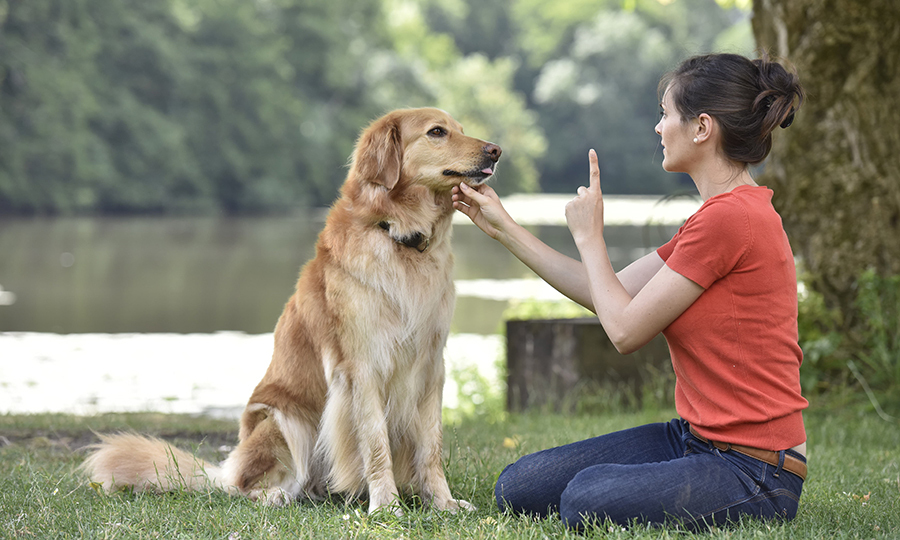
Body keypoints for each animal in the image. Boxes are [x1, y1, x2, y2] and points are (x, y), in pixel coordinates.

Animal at [81, 106, 502, 516]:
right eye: (437, 132)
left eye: (459, 128)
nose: (496, 150)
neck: (398, 235)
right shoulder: (362, 366)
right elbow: (375, 441)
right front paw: (385, 505)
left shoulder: (430, 365)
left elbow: (431, 447)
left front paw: (443, 502)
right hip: (283, 419)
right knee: (244, 487)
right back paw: (276, 496)